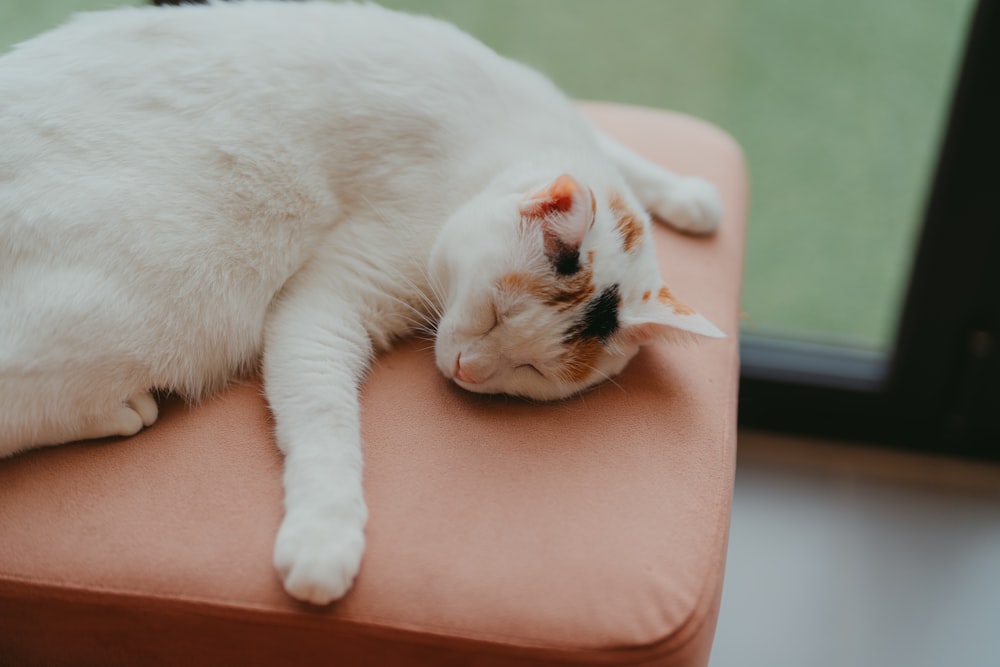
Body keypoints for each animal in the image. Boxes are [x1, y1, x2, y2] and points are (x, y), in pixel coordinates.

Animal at [0, 0, 728, 604]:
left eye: (535, 372)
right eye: (494, 312)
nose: (466, 370)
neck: (514, 145)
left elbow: (625, 152)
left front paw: (692, 197)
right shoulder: (327, 300)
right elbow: (327, 422)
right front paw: (326, 538)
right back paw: (124, 410)